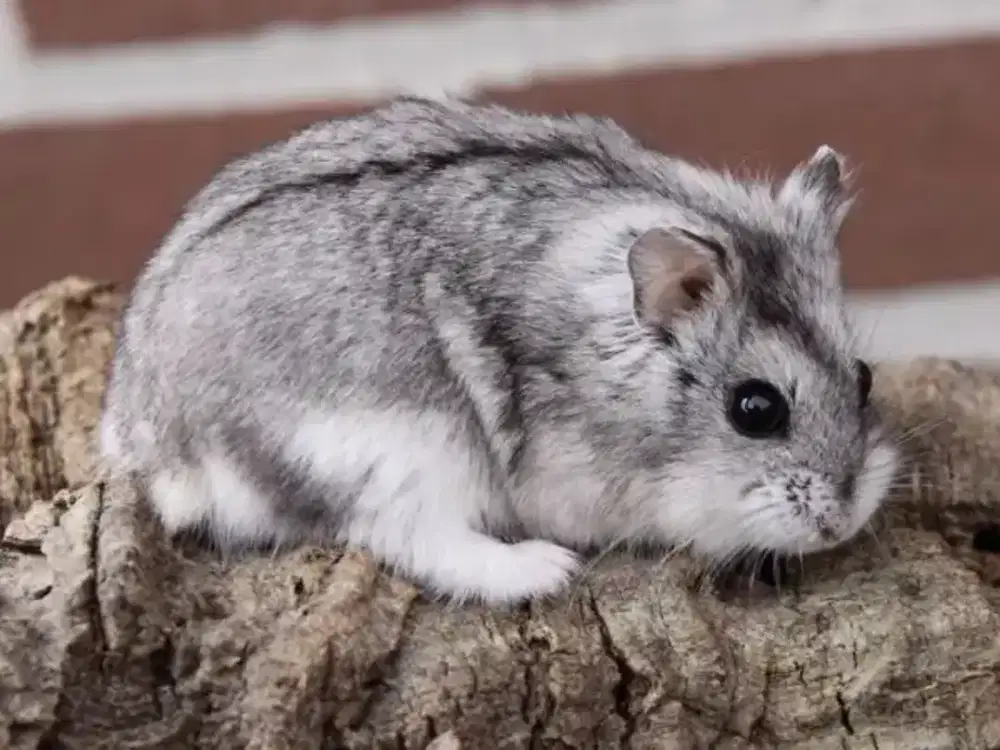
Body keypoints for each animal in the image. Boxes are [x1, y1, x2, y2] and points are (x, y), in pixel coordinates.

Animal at [99, 96, 898, 604]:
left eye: (863, 377)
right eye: (755, 409)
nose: (844, 521)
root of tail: (150, 436)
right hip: (399, 448)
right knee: (401, 537)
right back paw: (547, 571)